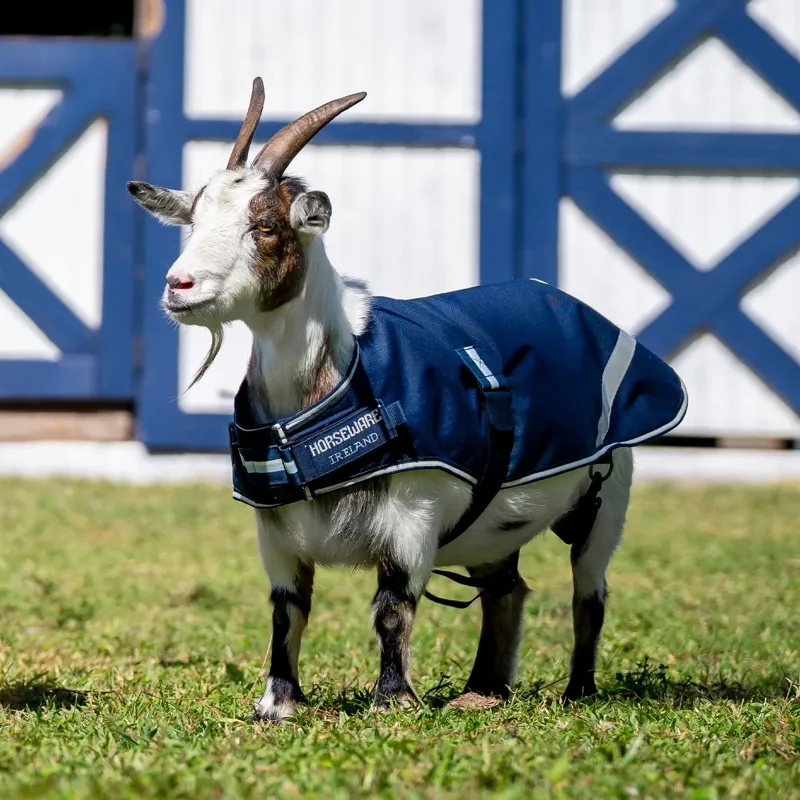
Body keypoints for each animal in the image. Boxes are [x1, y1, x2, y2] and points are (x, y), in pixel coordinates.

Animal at [127, 78, 686, 722]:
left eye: (265, 227)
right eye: (192, 221)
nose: (179, 286)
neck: (334, 385)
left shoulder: (413, 513)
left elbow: (392, 608)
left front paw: (393, 701)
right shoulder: (276, 533)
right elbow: (287, 611)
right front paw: (277, 705)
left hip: (609, 495)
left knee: (588, 593)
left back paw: (578, 692)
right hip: (494, 524)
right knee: (507, 589)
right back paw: (483, 691)